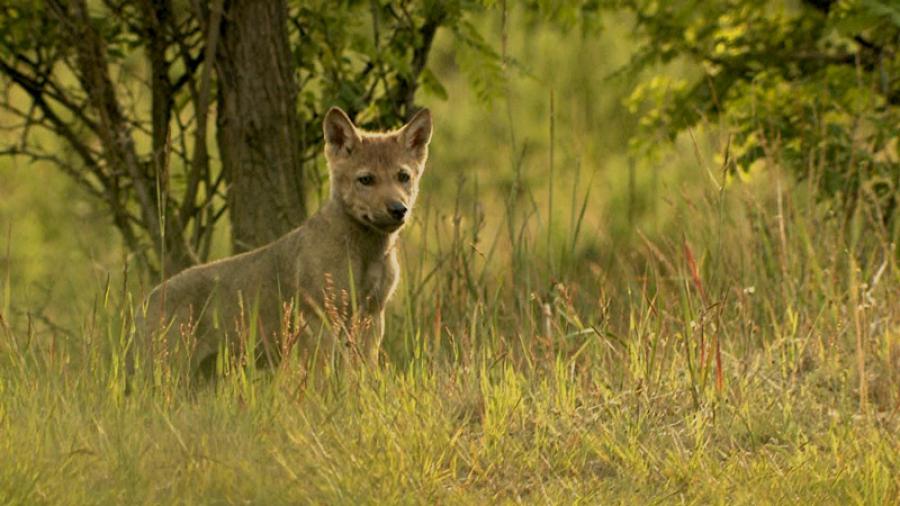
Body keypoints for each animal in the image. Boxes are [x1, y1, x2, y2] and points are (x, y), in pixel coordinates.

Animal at [131, 106, 432, 376]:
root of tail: (143, 304)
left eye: (403, 176)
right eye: (366, 179)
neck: (368, 253)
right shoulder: (320, 319)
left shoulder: (372, 314)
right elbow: (324, 379)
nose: (398, 209)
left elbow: (363, 375)